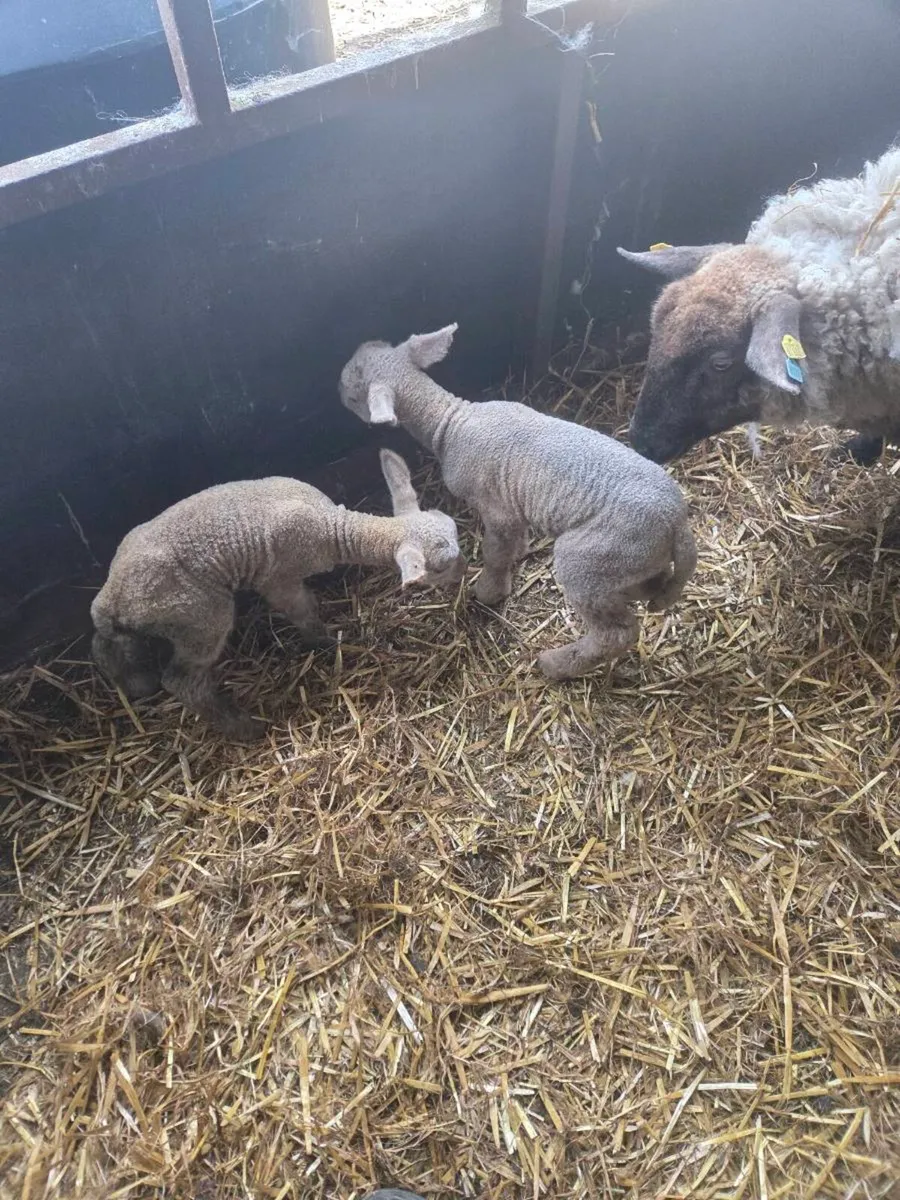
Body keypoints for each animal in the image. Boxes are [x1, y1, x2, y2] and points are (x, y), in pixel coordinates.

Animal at [91, 450, 466, 740]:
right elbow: (302, 610)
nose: (464, 572)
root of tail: (110, 597)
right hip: (199, 614)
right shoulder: (278, 577)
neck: (332, 526)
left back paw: (136, 683)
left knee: (108, 645)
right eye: (442, 566)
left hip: (145, 616)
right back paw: (243, 727)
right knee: (181, 680)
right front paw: (325, 643)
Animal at [338, 324, 696, 681]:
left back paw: (556, 664)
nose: (338, 387)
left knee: (615, 633)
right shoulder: (510, 500)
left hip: (595, 557)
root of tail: (678, 523)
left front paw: (489, 591)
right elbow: (513, 539)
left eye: (354, 391)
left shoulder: (494, 506)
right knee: (651, 586)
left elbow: (494, 552)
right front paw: (520, 552)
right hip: (631, 560)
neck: (452, 422)